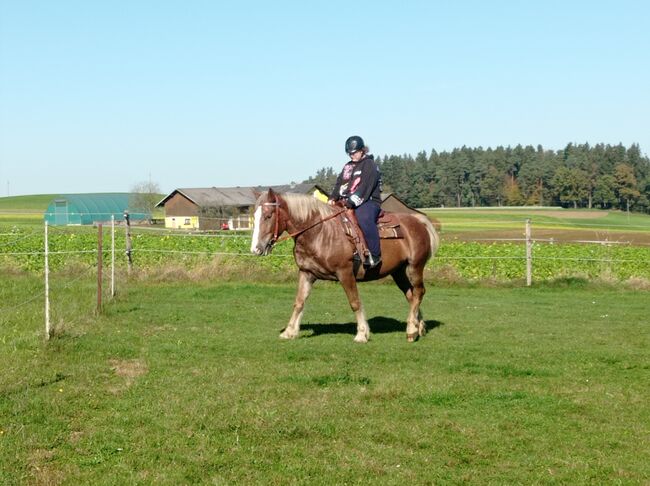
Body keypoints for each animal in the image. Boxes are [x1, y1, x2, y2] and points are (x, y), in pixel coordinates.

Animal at [251, 188, 438, 344]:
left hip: (415, 267)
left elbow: (354, 302)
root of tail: (418, 221)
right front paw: (289, 331)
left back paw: (411, 330)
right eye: (254, 215)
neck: (320, 232)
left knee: (419, 292)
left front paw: (362, 333)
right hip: (398, 272)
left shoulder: (345, 273)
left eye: (268, 215)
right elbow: (299, 302)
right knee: (411, 295)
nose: (256, 249)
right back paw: (418, 326)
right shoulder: (306, 273)